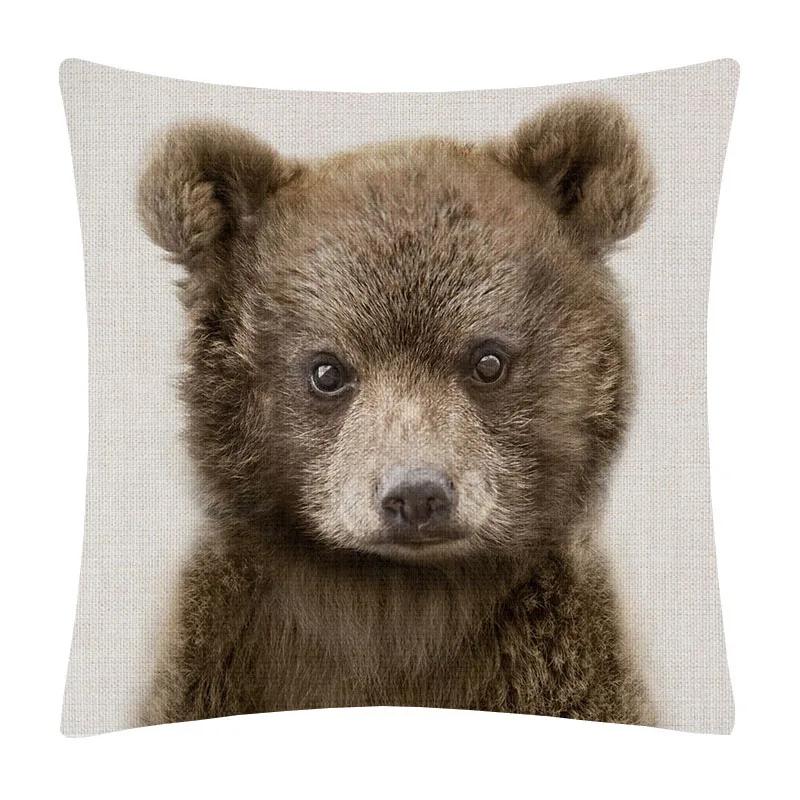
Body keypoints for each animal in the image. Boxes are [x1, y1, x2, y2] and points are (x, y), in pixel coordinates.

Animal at [137, 97, 654, 726]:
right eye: (327, 370)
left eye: (488, 360)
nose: (416, 495)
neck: (394, 599)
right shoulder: (220, 660)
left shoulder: (558, 666)